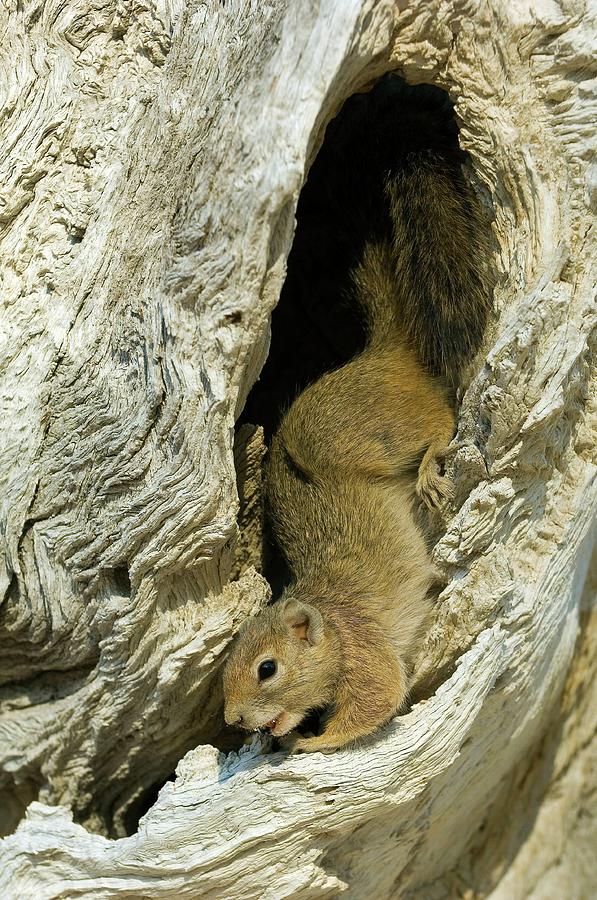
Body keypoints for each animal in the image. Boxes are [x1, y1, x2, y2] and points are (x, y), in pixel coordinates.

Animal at [221, 75, 492, 752]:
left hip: (367, 433)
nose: (235, 722)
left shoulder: (364, 650)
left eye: (268, 669)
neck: (329, 622)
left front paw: (307, 743)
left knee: (439, 423)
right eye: (227, 669)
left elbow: (376, 698)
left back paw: (429, 468)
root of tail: (383, 353)